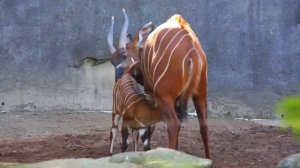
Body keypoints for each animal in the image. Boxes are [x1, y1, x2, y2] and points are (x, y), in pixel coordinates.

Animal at [111, 12, 210, 158]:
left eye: (124, 55)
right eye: (112, 61)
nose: (118, 79)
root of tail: (192, 51)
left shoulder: (151, 92)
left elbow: (150, 126)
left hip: (164, 95)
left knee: (173, 124)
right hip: (200, 94)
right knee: (203, 125)